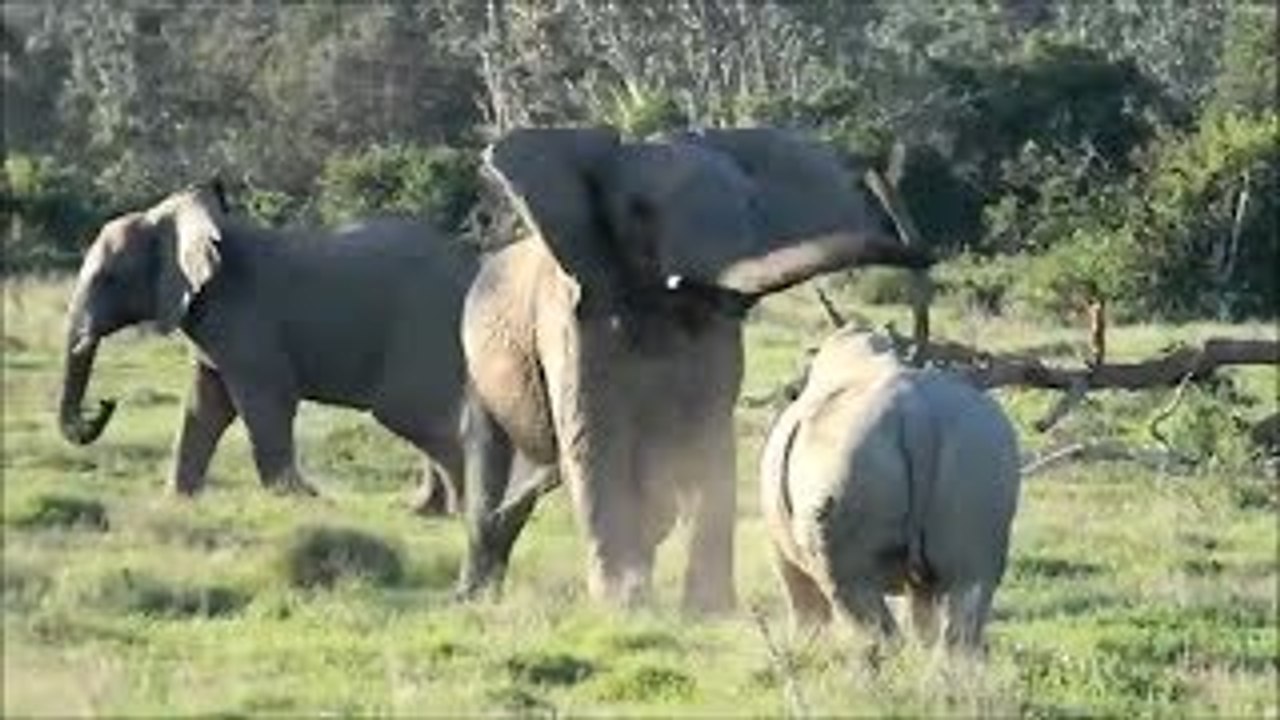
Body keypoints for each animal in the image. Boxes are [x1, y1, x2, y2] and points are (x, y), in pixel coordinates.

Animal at [57, 182, 476, 513]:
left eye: (108, 278)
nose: (105, 404)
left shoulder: (246, 321)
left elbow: (264, 403)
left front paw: (300, 499)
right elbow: (204, 408)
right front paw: (177, 501)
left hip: (425, 329)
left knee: (414, 415)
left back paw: (459, 512)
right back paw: (427, 511)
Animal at [454, 126, 933, 614]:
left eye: (751, 209)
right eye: (640, 211)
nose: (926, 256)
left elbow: (708, 435)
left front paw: (709, 612)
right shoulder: (573, 317)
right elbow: (594, 439)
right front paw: (622, 605)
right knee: (491, 454)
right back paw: (476, 592)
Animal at [759, 324, 1021, 653]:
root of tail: (915, 412)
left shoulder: (780, 550)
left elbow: (806, 610)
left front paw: (806, 653)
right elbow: (923, 615)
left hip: (848, 458)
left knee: (851, 593)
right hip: (980, 443)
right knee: (971, 590)